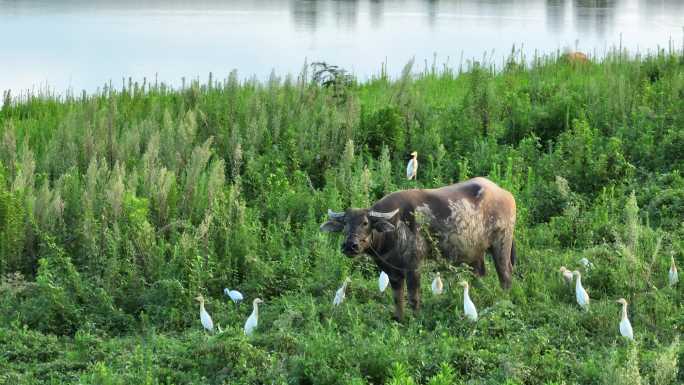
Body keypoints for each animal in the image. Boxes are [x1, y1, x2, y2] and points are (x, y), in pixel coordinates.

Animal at [318, 176, 516, 318]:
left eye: (365, 223)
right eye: (345, 224)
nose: (350, 246)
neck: (394, 231)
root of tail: (506, 194)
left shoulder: (414, 268)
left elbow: (414, 298)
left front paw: (416, 319)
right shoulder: (393, 273)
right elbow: (397, 299)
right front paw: (399, 319)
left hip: (502, 244)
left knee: (505, 275)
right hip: (476, 253)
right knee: (480, 275)